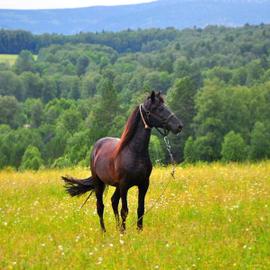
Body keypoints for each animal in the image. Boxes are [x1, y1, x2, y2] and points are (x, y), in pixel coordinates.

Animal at [62, 91, 182, 232]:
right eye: (159, 108)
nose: (179, 126)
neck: (134, 152)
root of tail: (97, 145)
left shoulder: (144, 184)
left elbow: (140, 209)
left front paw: (138, 231)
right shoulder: (125, 185)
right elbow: (124, 210)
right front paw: (124, 233)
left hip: (117, 186)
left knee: (113, 201)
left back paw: (118, 228)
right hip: (99, 184)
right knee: (100, 207)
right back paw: (104, 232)